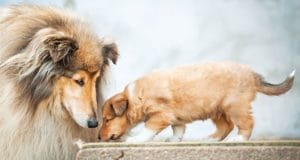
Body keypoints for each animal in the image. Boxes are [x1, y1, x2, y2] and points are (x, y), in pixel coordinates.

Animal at [99, 61, 296, 142]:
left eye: (107, 120)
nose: (99, 137)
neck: (136, 96)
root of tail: (252, 74)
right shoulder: (174, 117)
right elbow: (178, 129)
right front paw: (174, 140)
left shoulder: (160, 115)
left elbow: (148, 129)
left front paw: (136, 139)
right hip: (217, 109)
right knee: (226, 127)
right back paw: (210, 139)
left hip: (235, 107)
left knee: (246, 123)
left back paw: (239, 139)